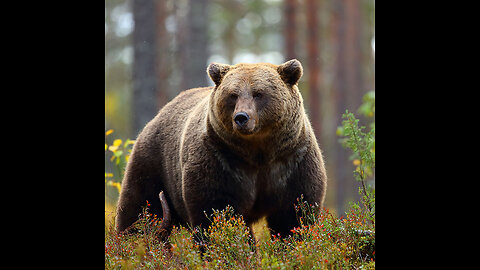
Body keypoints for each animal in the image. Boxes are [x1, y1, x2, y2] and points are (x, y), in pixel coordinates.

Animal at [115, 59, 326, 238]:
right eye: (233, 95)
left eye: (258, 93)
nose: (241, 117)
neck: (258, 153)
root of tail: (159, 114)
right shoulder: (220, 160)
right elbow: (217, 213)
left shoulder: (292, 161)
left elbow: (293, 216)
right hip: (153, 163)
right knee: (139, 209)